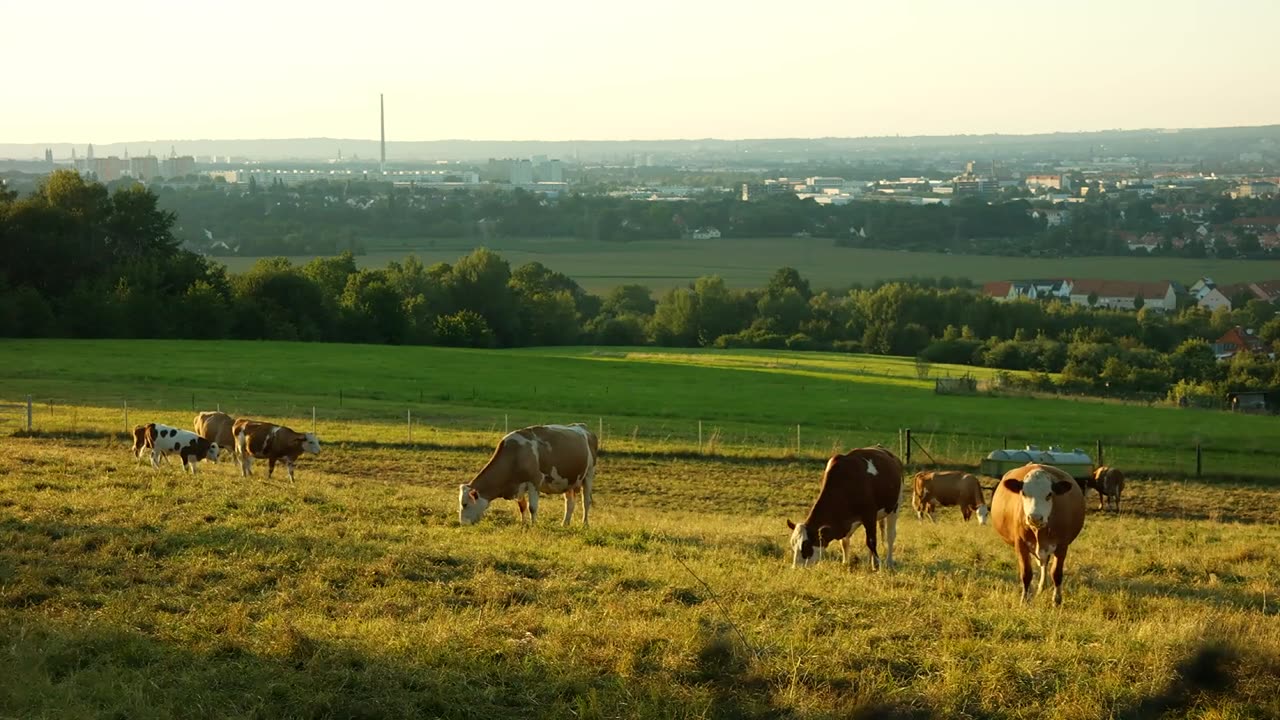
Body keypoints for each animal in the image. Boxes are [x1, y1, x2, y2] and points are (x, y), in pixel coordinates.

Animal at [460, 420, 599, 527]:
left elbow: (532, 507)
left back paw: (585, 524)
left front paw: (533, 525)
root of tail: (582, 427)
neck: (516, 454)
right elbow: (522, 506)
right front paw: (523, 524)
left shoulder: (534, 481)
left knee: (586, 502)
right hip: (568, 481)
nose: (462, 524)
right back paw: (565, 524)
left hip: (589, 475)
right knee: (569, 503)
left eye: (464, 504)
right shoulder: (518, 485)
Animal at [988, 461, 1080, 602]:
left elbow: (1056, 573)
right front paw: (1025, 599)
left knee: (1045, 564)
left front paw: (1057, 600)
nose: (1035, 517)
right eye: (1024, 493)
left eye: (1049, 494)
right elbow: (1026, 574)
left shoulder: (1062, 546)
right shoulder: (1021, 545)